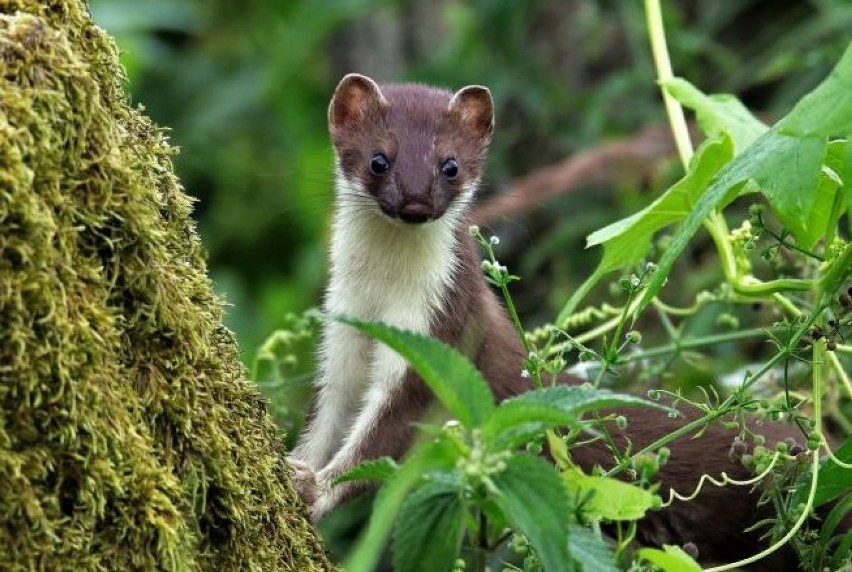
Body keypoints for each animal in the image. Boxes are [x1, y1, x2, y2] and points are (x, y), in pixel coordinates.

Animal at [292, 73, 832, 568]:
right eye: (378, 158)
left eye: (450, 165)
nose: (415, 203)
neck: (382, 296)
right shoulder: (342, 331)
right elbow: (329, 413)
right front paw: (298, 464)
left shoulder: (442, 336)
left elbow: (386, 436)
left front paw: (314, 487)